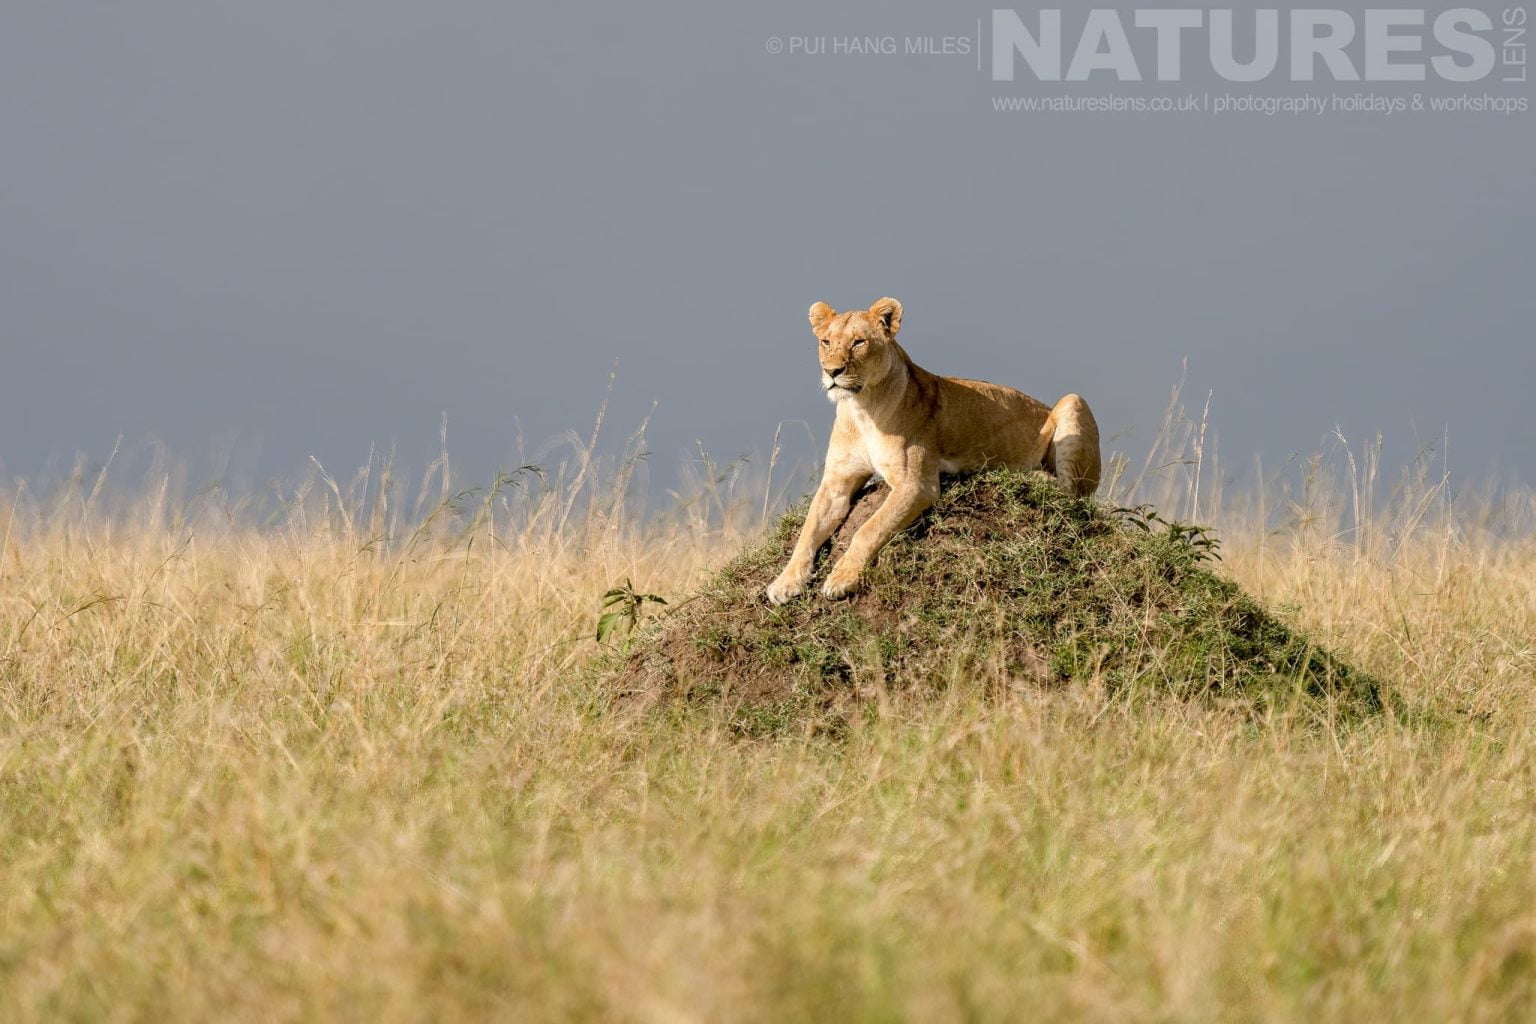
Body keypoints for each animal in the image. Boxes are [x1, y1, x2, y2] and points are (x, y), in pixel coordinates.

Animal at [764, 297, 1101, 605]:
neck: (862, 408)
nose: (832, 371)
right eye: (826, 342)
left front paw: (842, 578)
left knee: (1073, 495)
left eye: (859, 342)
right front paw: (785, 582)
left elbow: (869, 528)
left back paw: (1036, 476)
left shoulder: (917, 484)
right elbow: (807, 532)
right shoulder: (836, 482)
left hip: (1073, 401)